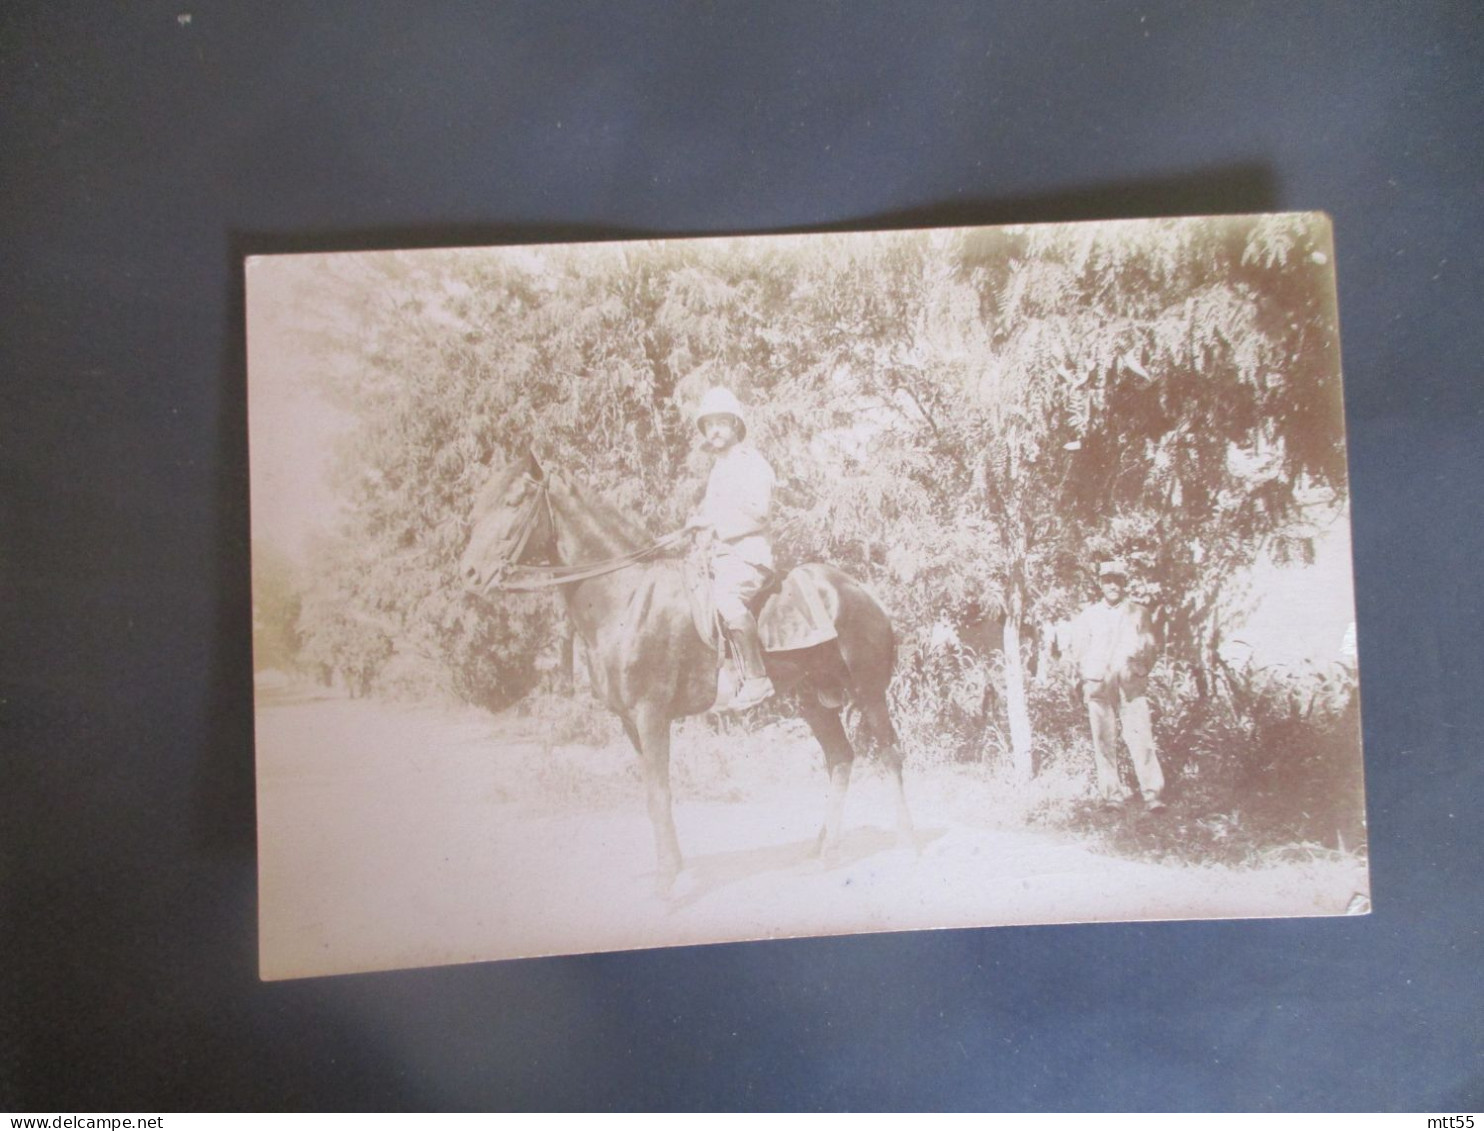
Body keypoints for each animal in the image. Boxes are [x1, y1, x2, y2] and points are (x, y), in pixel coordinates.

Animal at [457, 451, 908, 890]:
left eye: (515, 501)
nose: (469, 574)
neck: (628, 596)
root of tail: (862, 593)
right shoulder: (630, 721)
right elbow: (657, 794)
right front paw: (674, 870)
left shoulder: (651, 714)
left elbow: (658, 794)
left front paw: (665, 885)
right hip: (812, 701)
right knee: (841, 758)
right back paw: (824, 850)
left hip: (869, 694)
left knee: (890, 753)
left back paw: (901, 838)